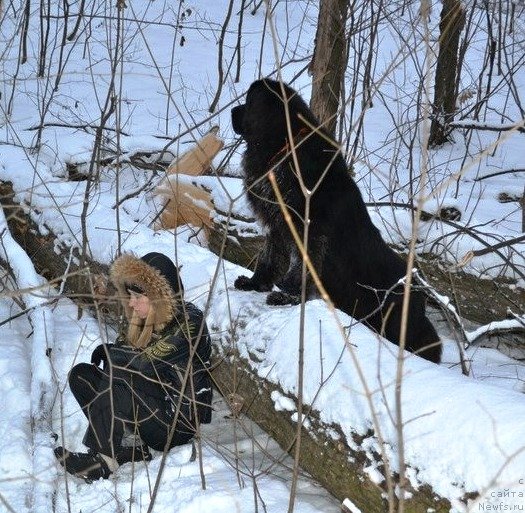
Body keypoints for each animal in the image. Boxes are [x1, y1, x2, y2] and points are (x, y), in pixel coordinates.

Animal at [231, 78, 440, 362]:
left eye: (249, 102)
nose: (232, 111)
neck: (285, 149)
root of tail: (420, 298)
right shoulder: (277, 226)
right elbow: (269, 258)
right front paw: (255, 284)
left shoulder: (309, 230)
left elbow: (302, 266)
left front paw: (289, 296)